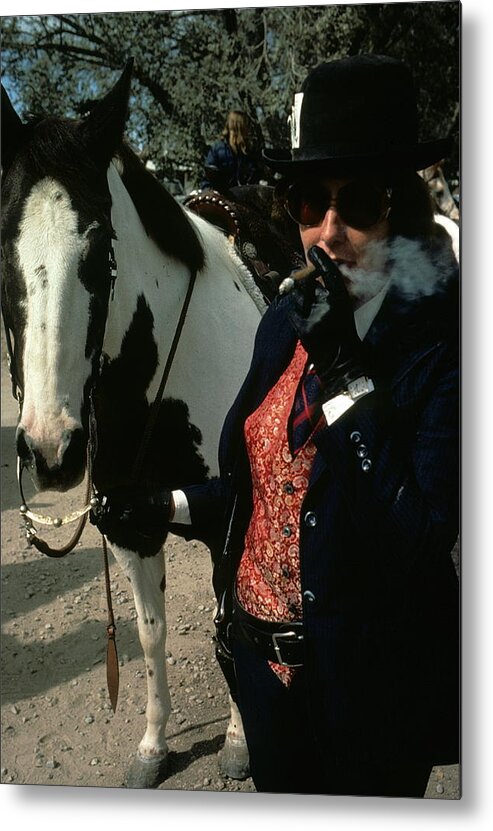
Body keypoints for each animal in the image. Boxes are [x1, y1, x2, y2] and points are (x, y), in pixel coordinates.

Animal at [0, 63, 266, 788]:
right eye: (1, 250)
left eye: (100, 251)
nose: (51, 449)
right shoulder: (128, 526)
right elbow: (149, 632)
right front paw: (153, 745)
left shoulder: (228, 522)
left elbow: (232, 620)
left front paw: (240, 741)